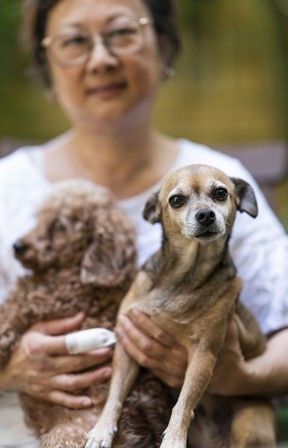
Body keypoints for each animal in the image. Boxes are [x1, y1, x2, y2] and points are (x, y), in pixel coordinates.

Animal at [0, 180, 172, 448]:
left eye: (60, 225)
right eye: (40, 218)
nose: (17, 246)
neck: (75, 273)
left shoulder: (27, 306)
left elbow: (5, 321)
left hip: (65, 436)